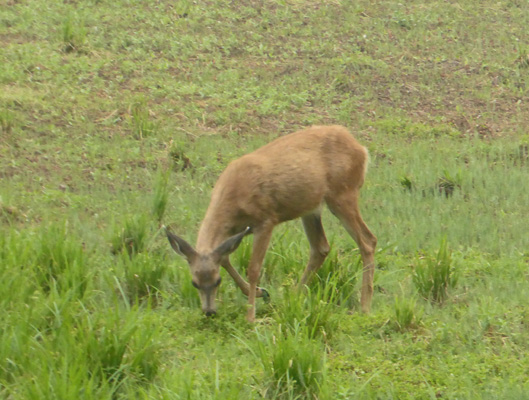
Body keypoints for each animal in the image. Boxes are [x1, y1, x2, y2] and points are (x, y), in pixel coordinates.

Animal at [165, 126, 376, 324]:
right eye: (194, 283)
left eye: (218, 281)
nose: (209, 312)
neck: (233, 200)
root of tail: (362, 150)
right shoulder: (235, 233)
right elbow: (224, 258)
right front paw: (261, 292)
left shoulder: (266, 220)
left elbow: (253, 268)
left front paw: (250, 316)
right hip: (311, 208)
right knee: (321, 247)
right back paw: (293, 297)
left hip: (343, 193)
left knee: (368, 241)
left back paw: (364, 307)